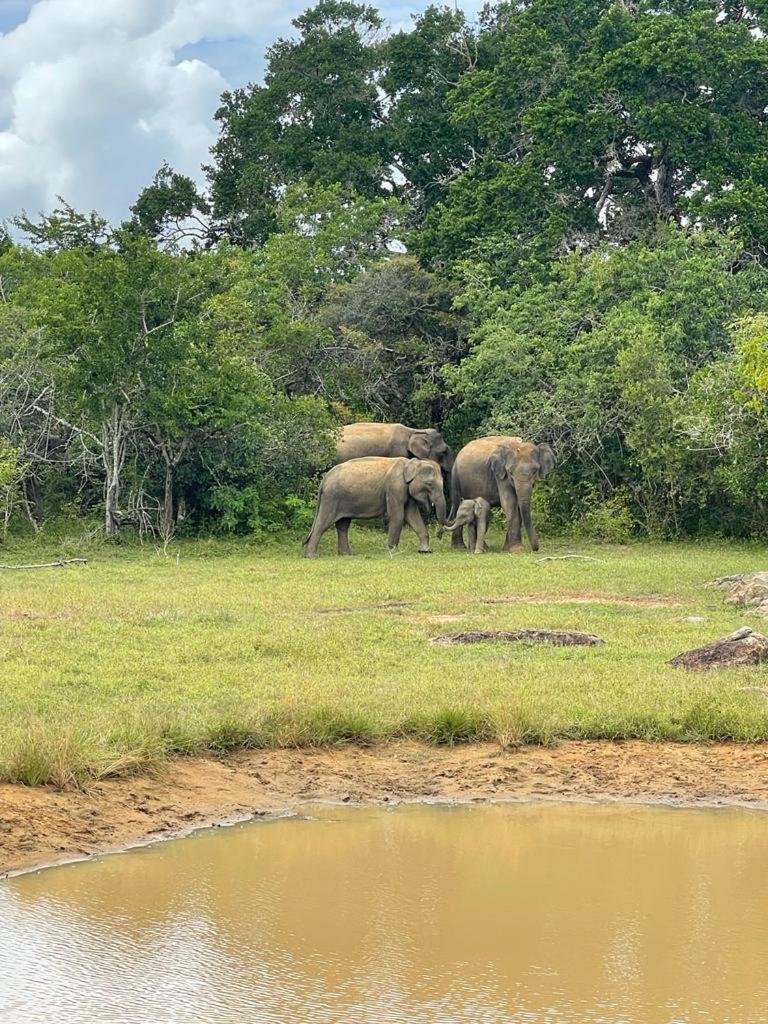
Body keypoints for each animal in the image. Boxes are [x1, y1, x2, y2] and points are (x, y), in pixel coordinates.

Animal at [305, 458, 448, 561]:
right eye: (429, 484)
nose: (440, 535)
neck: (411, 463)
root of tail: (324, 479)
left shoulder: (406, 491)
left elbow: (412, 516)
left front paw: (425, 551)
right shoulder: (395, 487)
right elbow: (398, 516)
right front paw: (391, 551)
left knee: (343, 525)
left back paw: (347, 554)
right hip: (332, 498)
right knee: (323, 524)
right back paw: (312, 556)